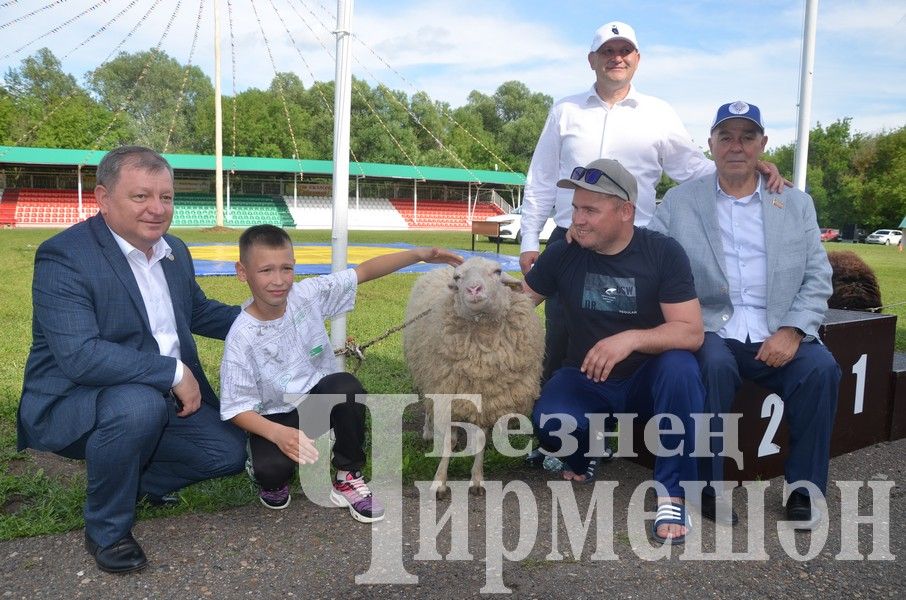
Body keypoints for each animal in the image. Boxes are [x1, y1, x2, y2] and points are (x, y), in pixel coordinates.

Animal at [404, 256, 544, 496]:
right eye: (458, 277)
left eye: (497, 271)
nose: (474, 289)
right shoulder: (447, 391)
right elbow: (448, 440)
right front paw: (439, 482)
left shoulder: (487, 398)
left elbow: (480, 439)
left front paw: (477, 480)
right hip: (428, 375)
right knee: (428, 407)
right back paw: (428, 432)